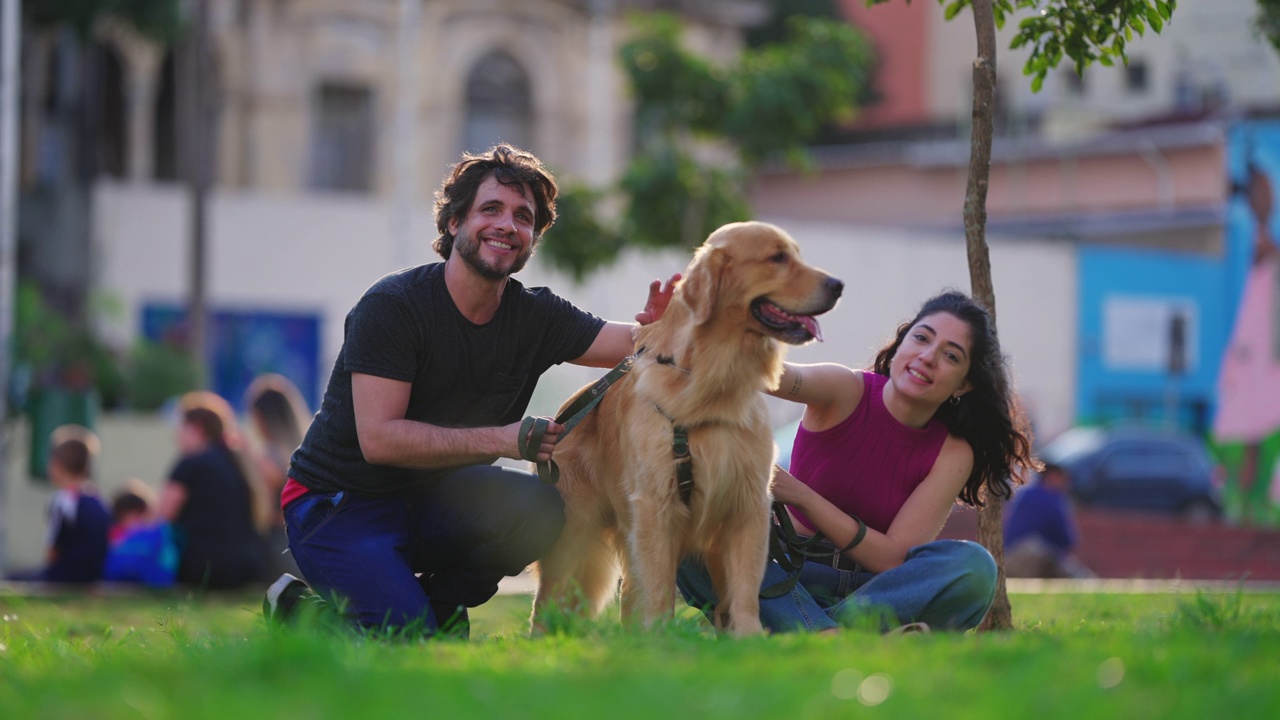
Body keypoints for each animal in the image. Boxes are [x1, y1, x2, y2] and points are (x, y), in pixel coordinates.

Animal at [535, 220, 844, 632]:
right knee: (548, 601)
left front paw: (747, 638)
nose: (838, 285)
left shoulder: (748, 502)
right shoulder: (656, 506)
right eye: (776, 258)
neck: (714, 382)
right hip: (573, 534)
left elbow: (745, 591)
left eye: (796, 254)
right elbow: (660, 591)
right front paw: (663, 638)